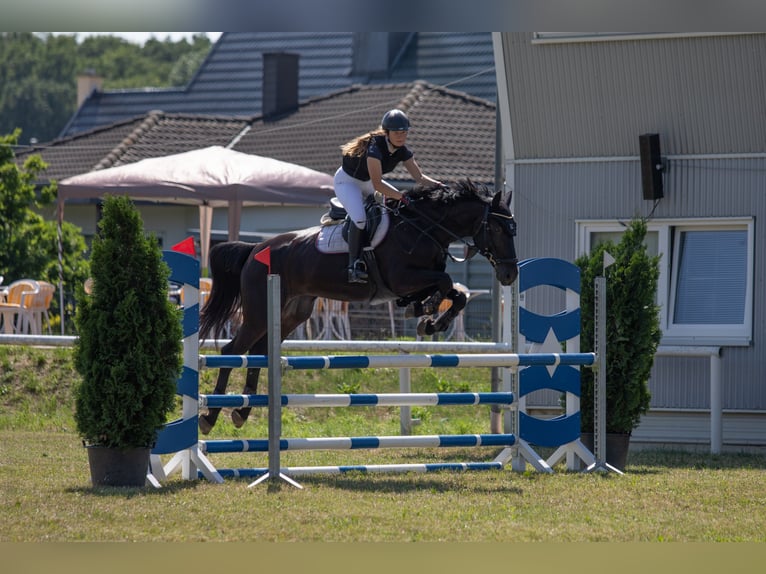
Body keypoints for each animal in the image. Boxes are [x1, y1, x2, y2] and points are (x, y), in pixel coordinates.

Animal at [198, 179, 518, 434]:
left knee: (259, 352)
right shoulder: (402, 279)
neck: (423, 227)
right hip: (259, 314)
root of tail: (255, 249)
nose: (510, 275)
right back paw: (210, 416)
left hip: (290, 314)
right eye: (498, 229)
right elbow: (444, 281)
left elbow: (455, 294)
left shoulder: (415, 282)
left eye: (513, 229)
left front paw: (429, 319)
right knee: (232, 352)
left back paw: (241, 412)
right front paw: (428, 315)